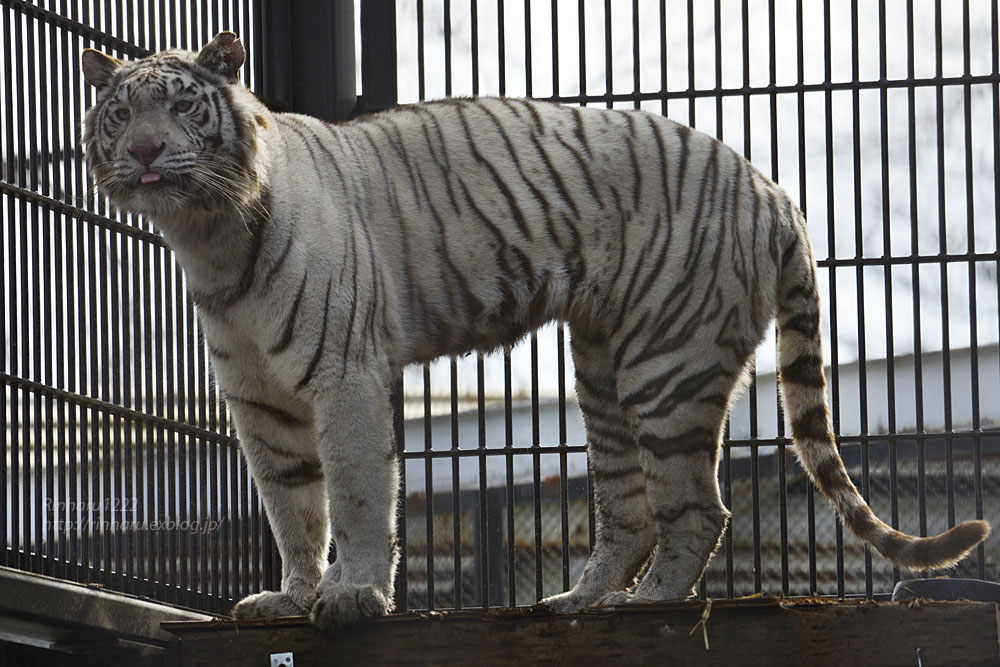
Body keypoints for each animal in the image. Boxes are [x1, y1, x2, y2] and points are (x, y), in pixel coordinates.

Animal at [82, 35, 988, 632]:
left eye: (182, 105)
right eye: (120, 112)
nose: (147, 151)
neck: (208, 235)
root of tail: (774, 190)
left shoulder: (343, 371)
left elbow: (358, 493)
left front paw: (353, 595)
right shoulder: (259, 397)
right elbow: (291, 503)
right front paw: (293, 595)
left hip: (667, 360)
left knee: (699, 507)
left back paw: (645, 606)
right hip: (607, 367)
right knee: (631, 510)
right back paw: (579, 600)